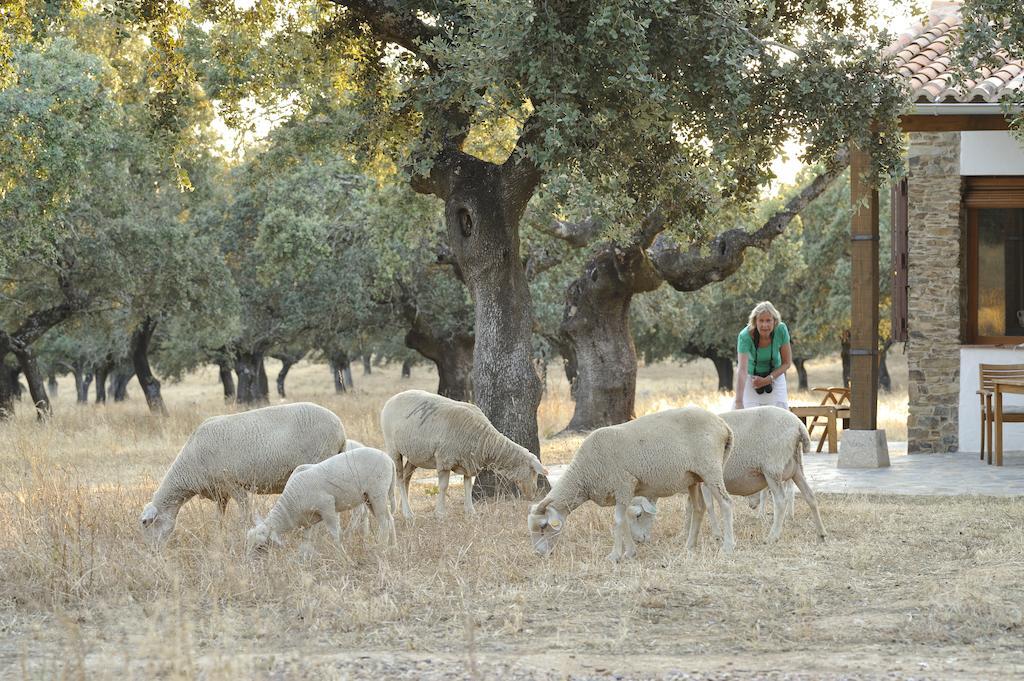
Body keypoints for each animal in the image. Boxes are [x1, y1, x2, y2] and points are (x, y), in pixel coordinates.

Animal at [138, 403, 346, 540]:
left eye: (146, 523)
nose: (152, 552)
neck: (188, 468)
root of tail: (340, 429)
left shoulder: (233, 484)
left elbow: (245, 515)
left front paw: (243, 533)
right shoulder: (220, 492)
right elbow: (218, 518)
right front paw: (219, 536)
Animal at [243, 444, 395, 557]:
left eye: (260, 547)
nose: (249, 563)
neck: (290, 505)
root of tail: (389, 460)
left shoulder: (327, 506)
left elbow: (335, 534)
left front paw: (342, 556)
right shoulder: (309, 520)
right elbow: (306, 541)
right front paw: (303, 559)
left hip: (377, 493)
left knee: (384, 522)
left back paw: (381, 549)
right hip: (369, 497)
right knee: (390, 519)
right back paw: (393, 546)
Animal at [380, 391, 548, 518]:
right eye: (534, 472)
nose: (533, 495)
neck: (485, 440)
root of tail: (391, 399)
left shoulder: (470, 462)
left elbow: (467, 485)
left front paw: (470, 511)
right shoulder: (444, 460)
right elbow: (443, 487)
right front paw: (440, 513)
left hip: (415, 455)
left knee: (406, 479)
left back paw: (404, 508)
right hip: (393, 448)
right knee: (400, 479)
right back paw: (407, 513)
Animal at [528, 405, 737, 561]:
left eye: (543, 526)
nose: (538, 554)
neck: (584, 473)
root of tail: (723, 426)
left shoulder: (624, 484)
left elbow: (618, 522)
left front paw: (615, 556)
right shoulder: (625, 491)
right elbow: (625, 522)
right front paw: (629, 552)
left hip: (711, 469)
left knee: (726, 503)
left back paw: (728, 546)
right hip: (693, 477)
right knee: (699, 508)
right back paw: (689, 546)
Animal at [626, 405, 827, 544]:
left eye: (638, 515)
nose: (639, 541)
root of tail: (798, 425)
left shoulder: (705, 481)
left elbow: (708, 506)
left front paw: (716, 534)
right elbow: (690, 507)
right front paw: (684, 534)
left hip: (773, 468)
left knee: (781, 501)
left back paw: (772, 537)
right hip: (795, 468)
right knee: (810, 496)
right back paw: (821, 534)